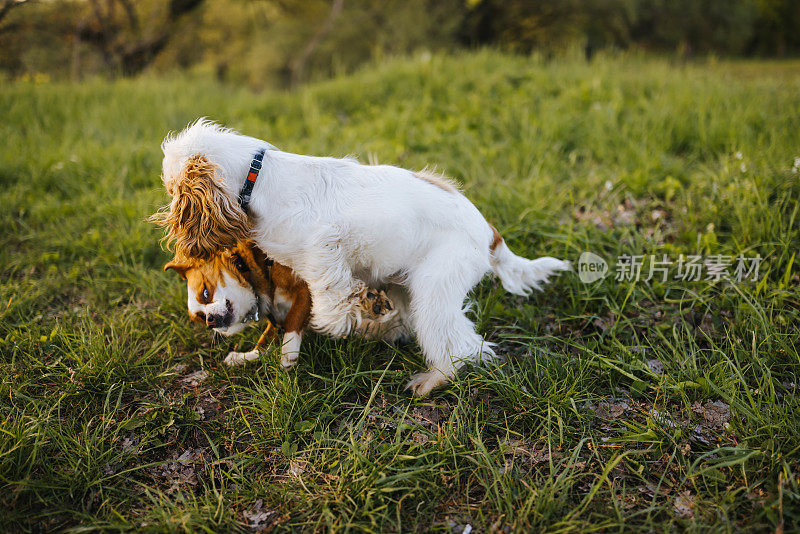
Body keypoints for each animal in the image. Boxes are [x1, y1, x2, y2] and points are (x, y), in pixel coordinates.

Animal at [163, 242, 404, 368]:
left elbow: (293, 321)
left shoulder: (306, 289)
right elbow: (263, 343)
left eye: (205, 293)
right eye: (200, 318)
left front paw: (288, 354)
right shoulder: (273, 319)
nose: (210, 322)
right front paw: (244, 357)